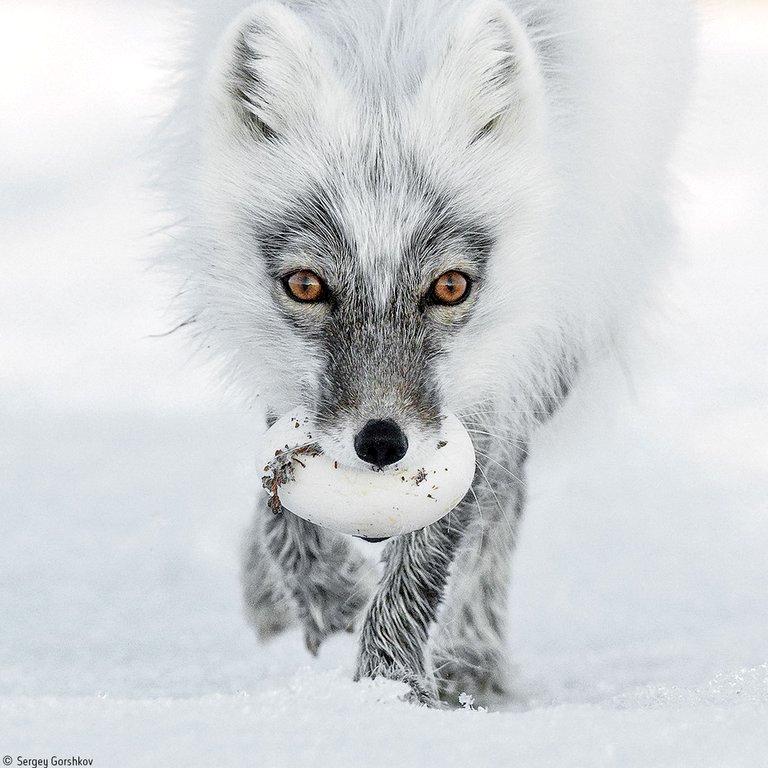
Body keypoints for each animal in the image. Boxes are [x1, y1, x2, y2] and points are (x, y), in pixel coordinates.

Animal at [164, 0, 696, 708]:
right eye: (306, 285)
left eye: (449, 286)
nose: (381, 443)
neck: (386, 41)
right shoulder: (281, 369)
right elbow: (282, 497)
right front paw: (327, 595)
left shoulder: (495, 375)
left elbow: (435, 551)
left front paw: (390, 693)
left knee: (502, 502)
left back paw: (471, 658)